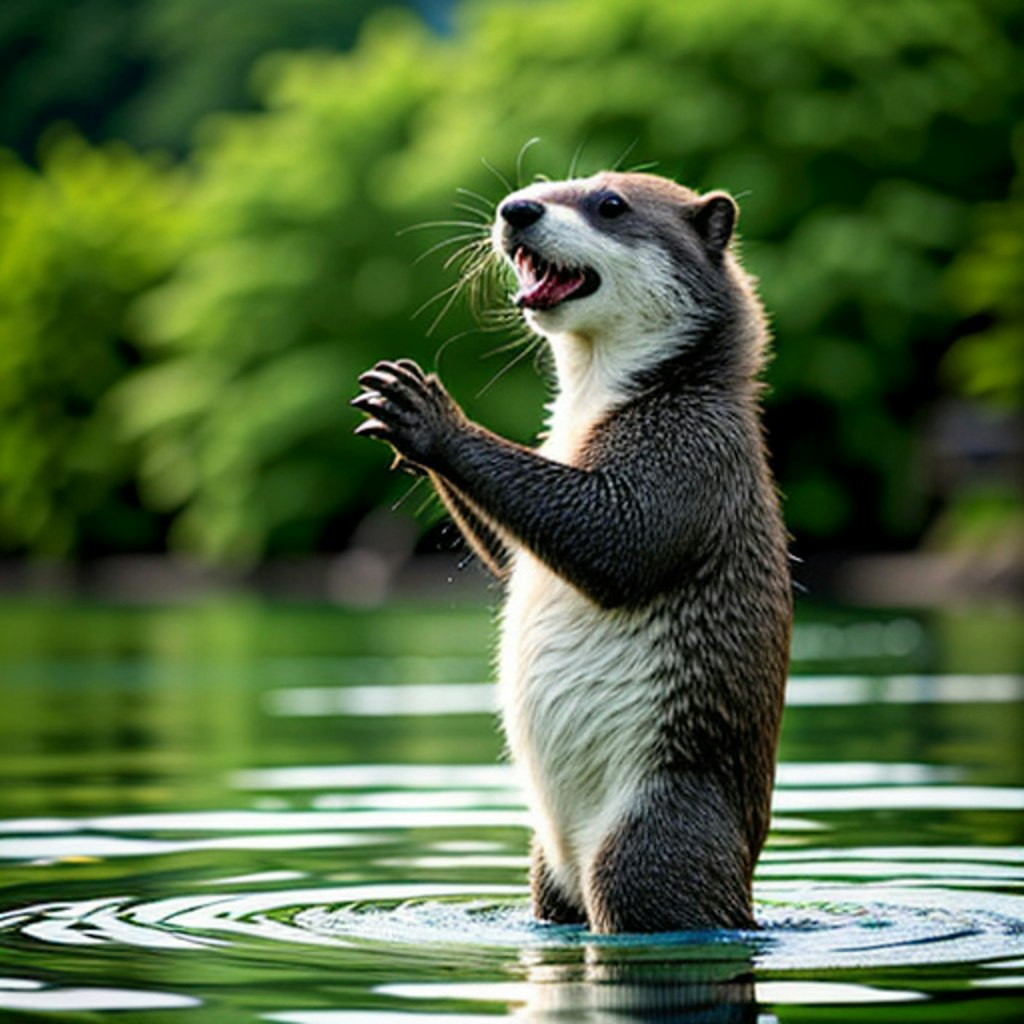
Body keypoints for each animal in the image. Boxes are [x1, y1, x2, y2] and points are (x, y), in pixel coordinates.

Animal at [352, 172, 790, 933]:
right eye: (539, 186)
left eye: (609, 204)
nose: (515, 210)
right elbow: (514, 555)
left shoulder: (692, 448)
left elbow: (615, 542)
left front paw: (431, 419)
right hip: (546, 874)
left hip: (641, 853)